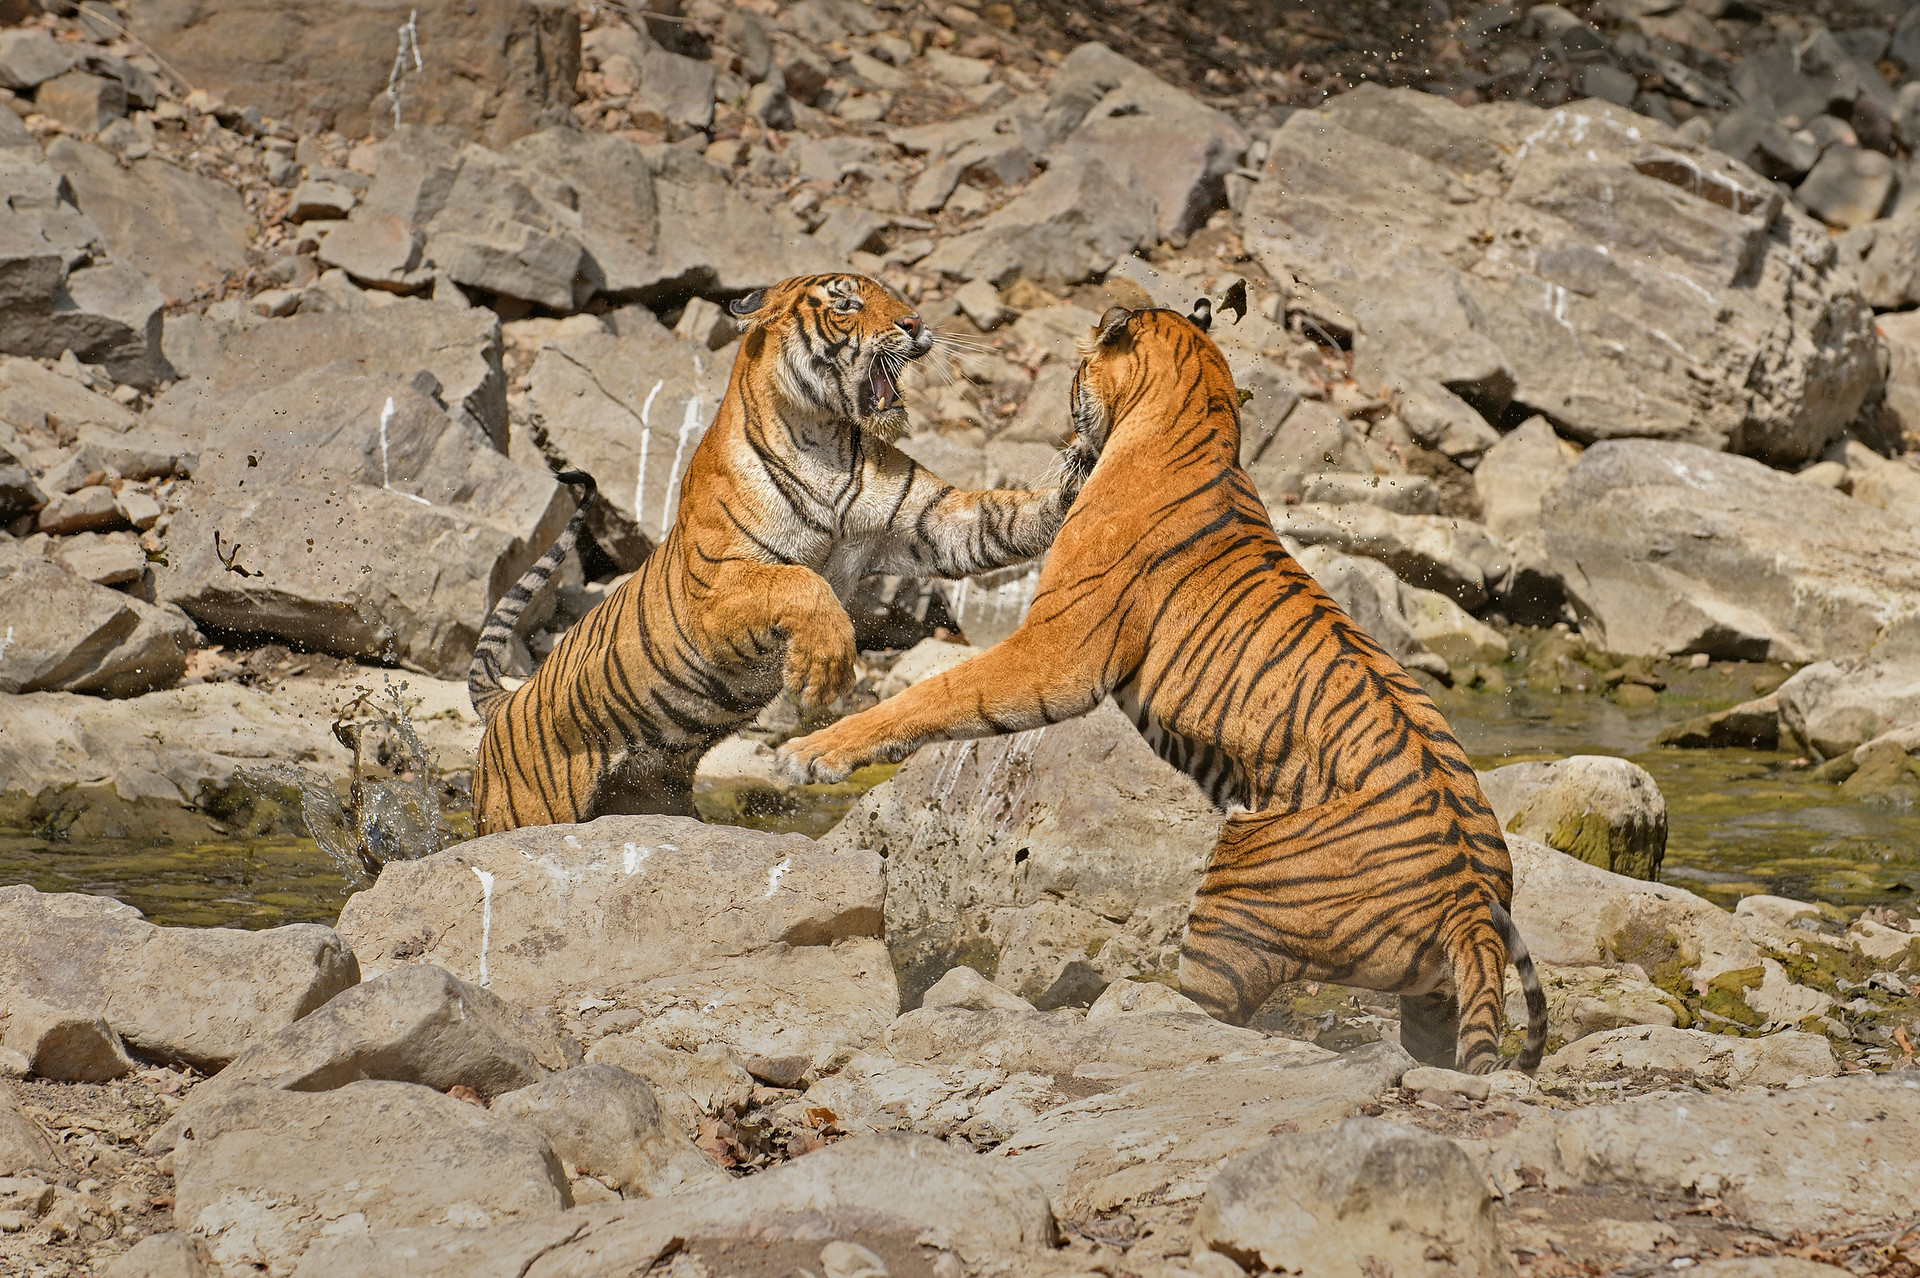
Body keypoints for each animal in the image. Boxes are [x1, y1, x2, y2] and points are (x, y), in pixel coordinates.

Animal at [467, 273, 1091, 834]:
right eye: (846, 303)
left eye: (891, 296)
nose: (915, 324)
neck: (825, 437)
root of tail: (508, 701)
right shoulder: (716, 592)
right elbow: (799, 583)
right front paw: (822, 672)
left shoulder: (932, 522)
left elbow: (1003, 519)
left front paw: (1081, 466)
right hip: (526, 810)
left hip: (651, 793)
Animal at [779, 298, 1548, 1074]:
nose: (1066, 442)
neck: (1196, 419)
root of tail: (1472, 903)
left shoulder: (1056, 654)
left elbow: (936, 694)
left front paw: (811, 753)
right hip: (1429, 990)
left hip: (1233, 904)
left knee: (1213, 1019)